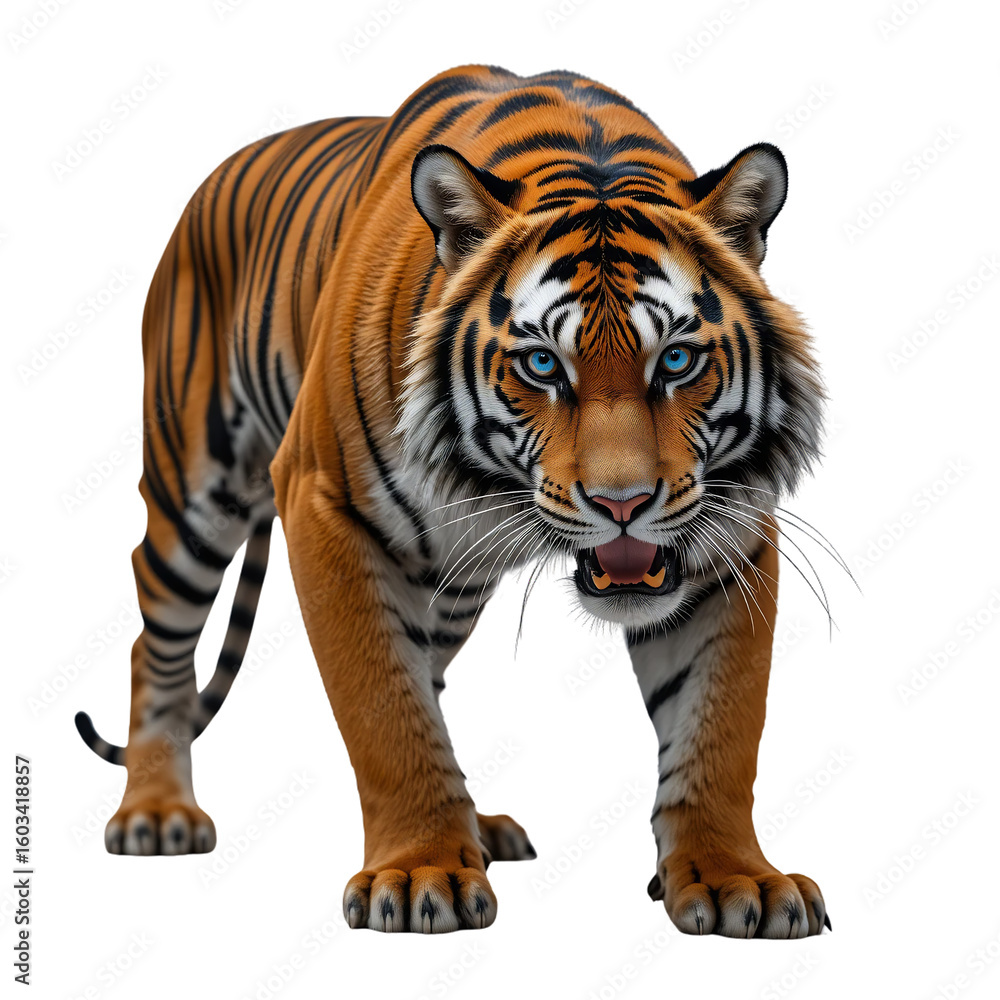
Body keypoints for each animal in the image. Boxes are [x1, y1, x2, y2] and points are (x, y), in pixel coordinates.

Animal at [75, 63, 830, 938]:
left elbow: (721, 723)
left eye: (676, 359)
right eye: (543, 364)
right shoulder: (323, 505)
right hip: (193, 494)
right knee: (156, 640)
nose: (624, 502)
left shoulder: (729, 535)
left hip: (455, 582)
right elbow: (384, 708)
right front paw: (418, 872)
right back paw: (156, 813)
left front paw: (734, 877)